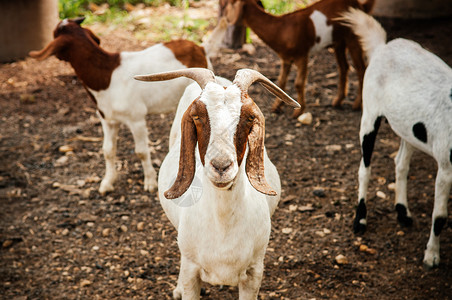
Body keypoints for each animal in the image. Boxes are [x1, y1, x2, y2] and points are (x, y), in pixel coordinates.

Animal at [28, 17, 226, 195]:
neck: (106, 76)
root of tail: (200, 48)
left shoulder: (136, 118)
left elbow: (141, 151)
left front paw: (150, 182)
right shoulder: (107, 119)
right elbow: (108, 150)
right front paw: (107, 183)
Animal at [134, 67, 300, 298]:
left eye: (249, 118)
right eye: (197, 116)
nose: (221, 166)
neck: (223, 225)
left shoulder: (254, 273)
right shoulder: (191, 272)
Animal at [222, 0, 374, 118]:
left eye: (226, 5)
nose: (225, 20)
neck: (281, 29)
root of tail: (359, 5)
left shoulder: (302, 55)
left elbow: (298, 83)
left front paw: (298, 112)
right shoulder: (285, 59)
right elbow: (281, 81)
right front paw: (276, 107)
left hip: (353, 36)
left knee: (361, 69)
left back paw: (357, 104)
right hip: (339, 42)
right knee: (343, 67)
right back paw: (337, 101)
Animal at [340, 8, 452, 268]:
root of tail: (383, 47)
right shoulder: (446, 166)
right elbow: (440, 215)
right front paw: (431, 256)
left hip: (407, 128)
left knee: (400, 163)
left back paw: (403, 212)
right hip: (369, 116)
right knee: (364, 169)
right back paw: (360, 220)